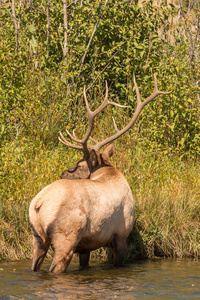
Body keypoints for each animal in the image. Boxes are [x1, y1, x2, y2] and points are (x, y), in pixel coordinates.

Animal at [29, 75, 170, 272]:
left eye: (79, 165)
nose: (62, 174)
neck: (109, 172)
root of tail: (38, 204)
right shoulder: (121, 235)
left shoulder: (85, 246)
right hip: (66, 235)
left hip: (37, 237)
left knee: (35, 264)